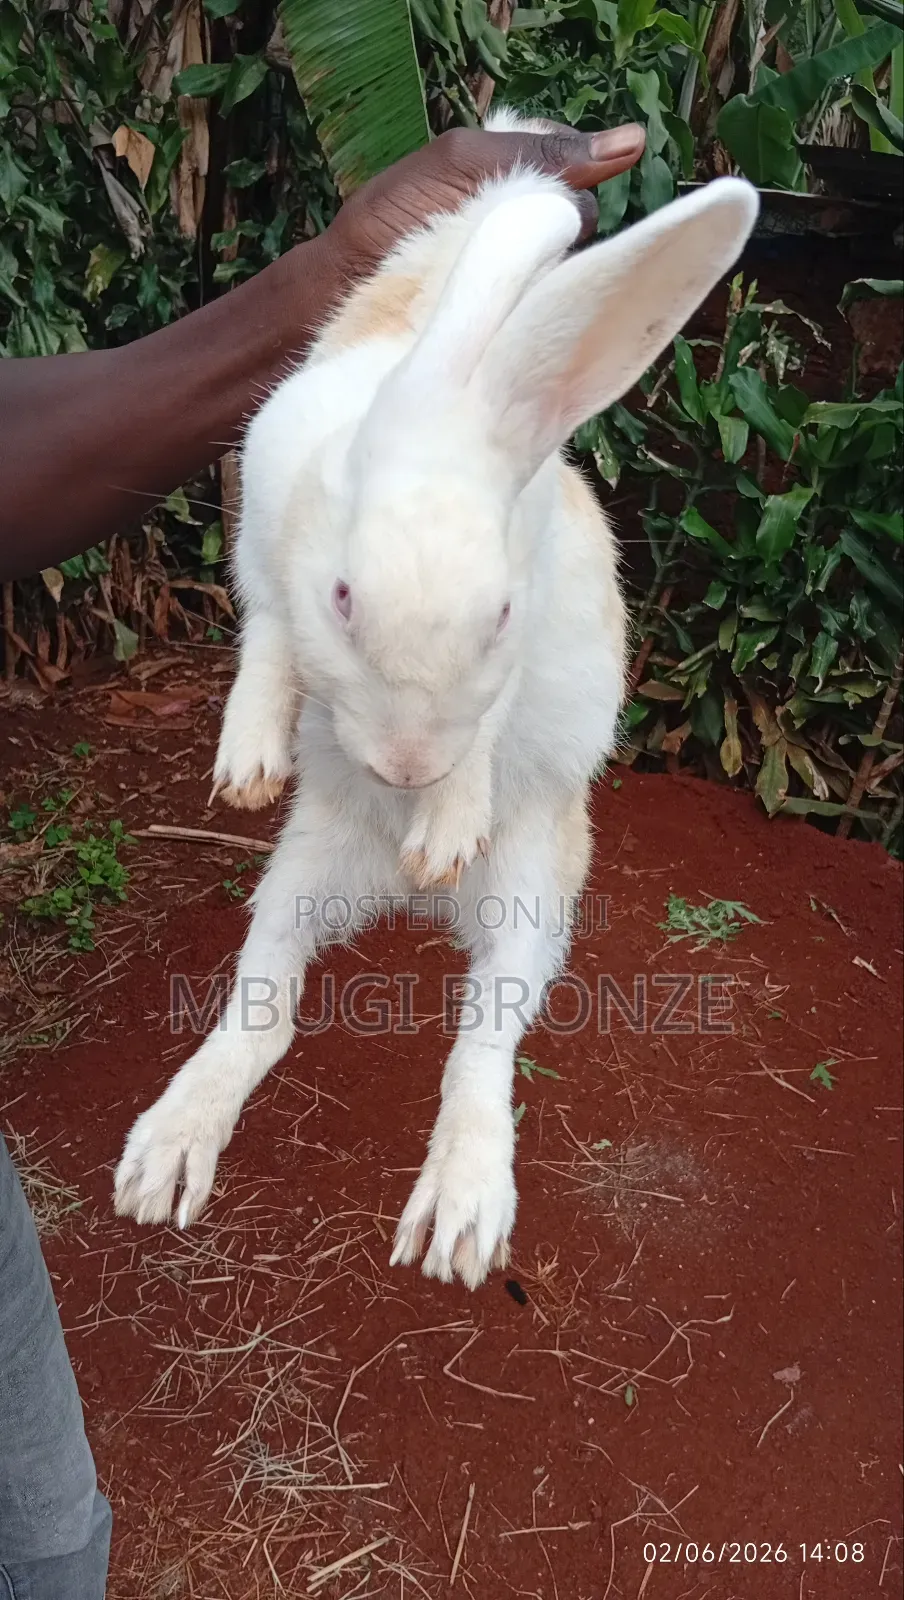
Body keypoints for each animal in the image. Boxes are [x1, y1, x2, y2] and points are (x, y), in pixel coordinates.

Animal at [114, 111, 758, 1289]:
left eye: (497, 615)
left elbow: (493, 724)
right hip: (299, 877)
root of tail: (396, 901)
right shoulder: (265, 548)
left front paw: (447, 824)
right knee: (265, 1013)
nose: (405, 774)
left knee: (483, 1042)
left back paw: (458, 1211)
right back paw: (168, 1155)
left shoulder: (527, 634)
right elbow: (268, 640)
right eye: (345, 596)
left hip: (534, 893)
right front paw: (248, 763)